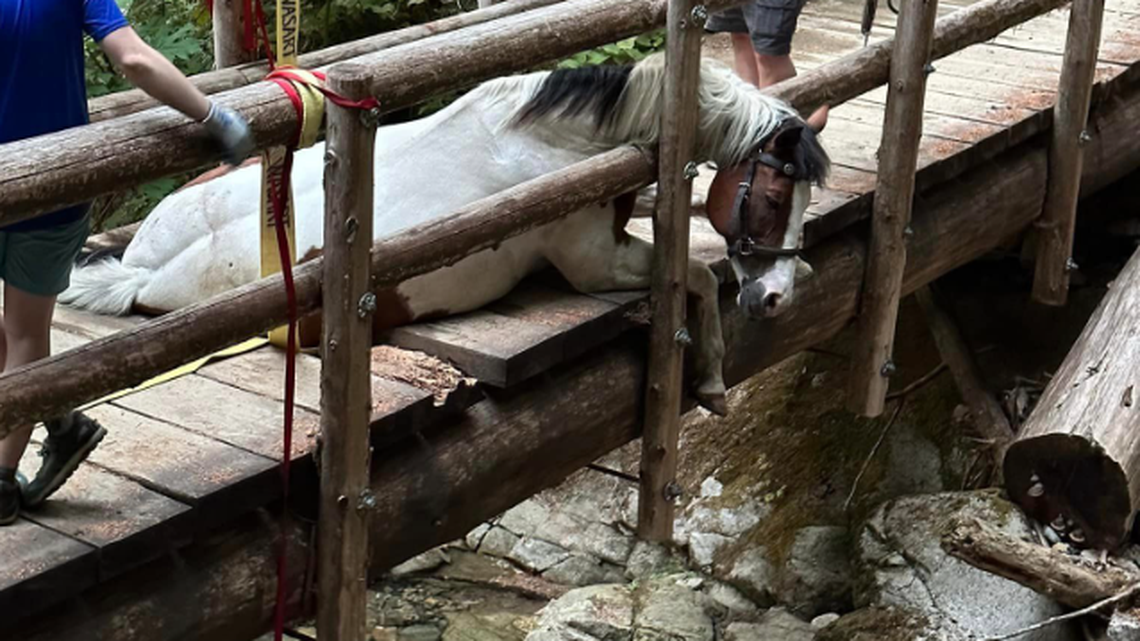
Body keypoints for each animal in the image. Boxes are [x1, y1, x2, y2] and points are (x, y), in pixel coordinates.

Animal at [60, 52, 830, 415]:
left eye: (799, 198)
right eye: (770, 196)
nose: (775, 298)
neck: (558, 143)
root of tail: (145, 273)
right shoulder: (591, 264)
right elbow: (696, 273)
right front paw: (712, 381)